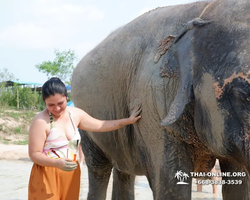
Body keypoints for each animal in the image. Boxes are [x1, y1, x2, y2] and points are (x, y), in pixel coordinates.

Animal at [71, 0, 250, 199]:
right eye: (242, 95)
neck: (202, 9)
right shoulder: (154, 104)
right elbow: (172, 186)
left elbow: (239, 184)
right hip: (85, 121)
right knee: (98, 168)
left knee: (124, 171)